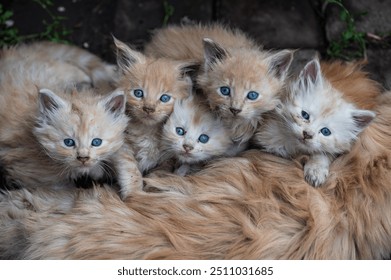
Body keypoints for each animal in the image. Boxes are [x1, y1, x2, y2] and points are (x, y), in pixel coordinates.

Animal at [112, 37, 194, 173]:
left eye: (164, 98)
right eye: (138, 93)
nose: (149, 109)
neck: (148, 131)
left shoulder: (167, 159)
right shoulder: (123, 145)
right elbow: (129, 168)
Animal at [251, 58, 376, 187]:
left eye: (325, 131)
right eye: (305, 115)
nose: (307, 134)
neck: (293, 146)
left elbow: (322, 153)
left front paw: (316, 171)